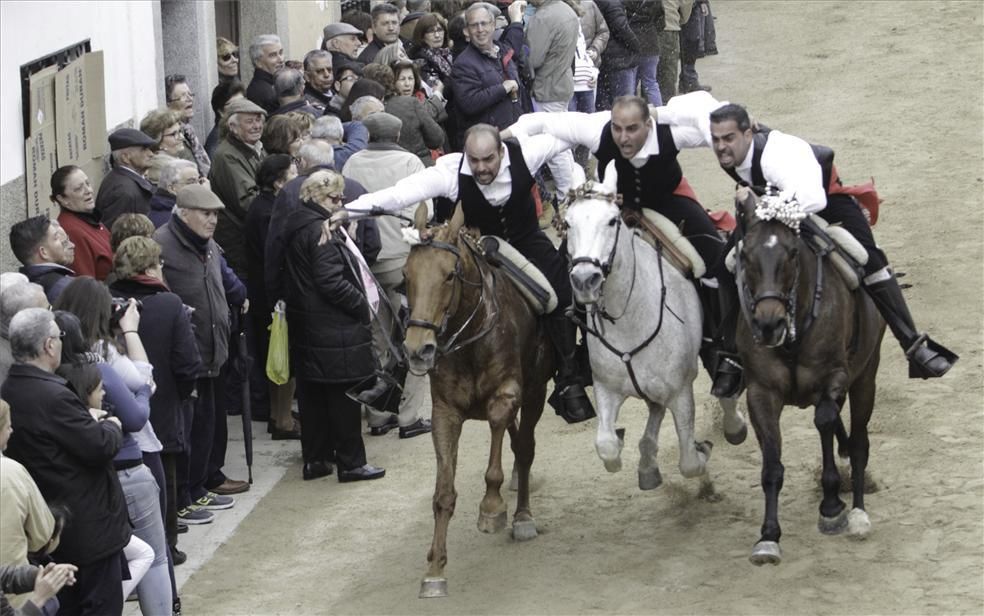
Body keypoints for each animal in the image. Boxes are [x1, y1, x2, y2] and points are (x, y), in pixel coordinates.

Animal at [400, 205, 552, 600]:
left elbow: (499, 437)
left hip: (536, 391)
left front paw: (492, 507)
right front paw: (434, 569)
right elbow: (443, 492)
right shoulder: (445, 413)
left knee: (524, 447)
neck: (469, 337)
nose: (417, 349)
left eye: (449, 275)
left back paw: (522, 516)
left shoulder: (509, 392)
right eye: (406, 275)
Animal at [560, 185, 744, 488]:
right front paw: (627, 448)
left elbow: (689, 462)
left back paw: (733, 424)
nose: (585, 280)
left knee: (723, 389)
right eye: (567, 224)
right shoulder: (606, 388)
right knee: (654, 410)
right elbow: (607, 446)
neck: (629, 320)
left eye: (612, 221)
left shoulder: (680, 393)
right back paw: (647, 465)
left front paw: (702, 450)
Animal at [736, 189, 888, 568]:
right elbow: (772, 463)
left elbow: (824, 420)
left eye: (792, 252)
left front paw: (832, 505)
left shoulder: (835, 376)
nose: (768, 324)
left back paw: (858, 513)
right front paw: (768, 537)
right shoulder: (761, 393)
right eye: (745, 255)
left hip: (866, 377)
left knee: (858, 441)